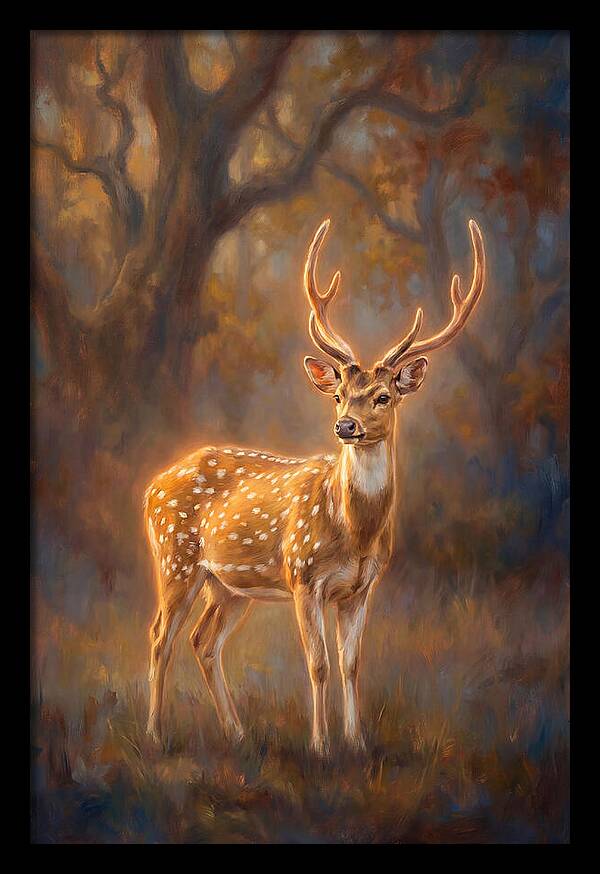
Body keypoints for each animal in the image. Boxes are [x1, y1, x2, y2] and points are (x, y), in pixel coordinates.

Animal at [144, 217, 486, 754]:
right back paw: (156, 734)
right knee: (161, 636)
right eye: (340, 394)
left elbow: (351, 664)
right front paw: (321, 747)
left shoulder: (361, 589)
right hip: (174, 557)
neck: (355, 532)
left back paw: (237, 732)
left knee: (203, 641)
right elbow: (318, 664)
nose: (346, 425)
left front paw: (357, 742)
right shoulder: (303, 577)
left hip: (229, 585)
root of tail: (151, 487)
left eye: (383, 396)